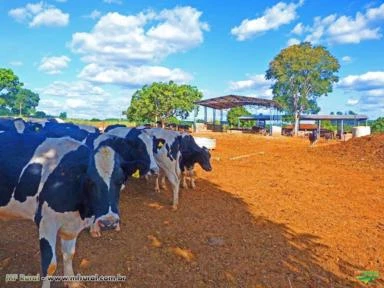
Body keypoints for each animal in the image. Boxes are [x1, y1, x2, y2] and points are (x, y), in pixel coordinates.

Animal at [0, 131, 148, 288]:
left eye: (120, 180)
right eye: (90, 181)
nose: (109, 222)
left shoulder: (72, 225)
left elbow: (69, 254)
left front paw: (71, 281)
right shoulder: (46, 222)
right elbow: (49, 265)